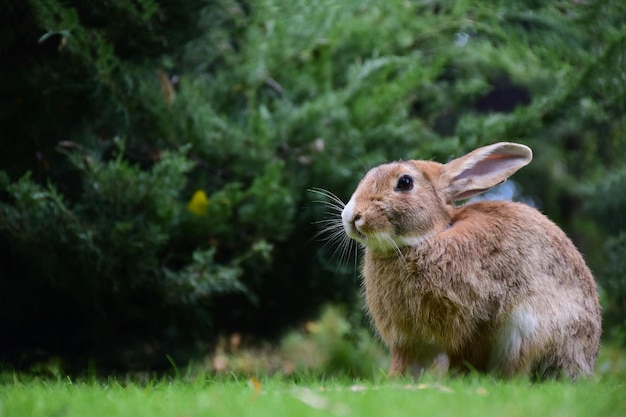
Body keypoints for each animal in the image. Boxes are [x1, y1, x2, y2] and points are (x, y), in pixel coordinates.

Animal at [338, 141, 604, 378]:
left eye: (405, 182)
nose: (351, 216)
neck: (430, 237)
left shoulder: (476, 322)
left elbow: (467, 357)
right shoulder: (408, 341)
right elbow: (405, 364)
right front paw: (395, 381)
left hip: (531, 329)